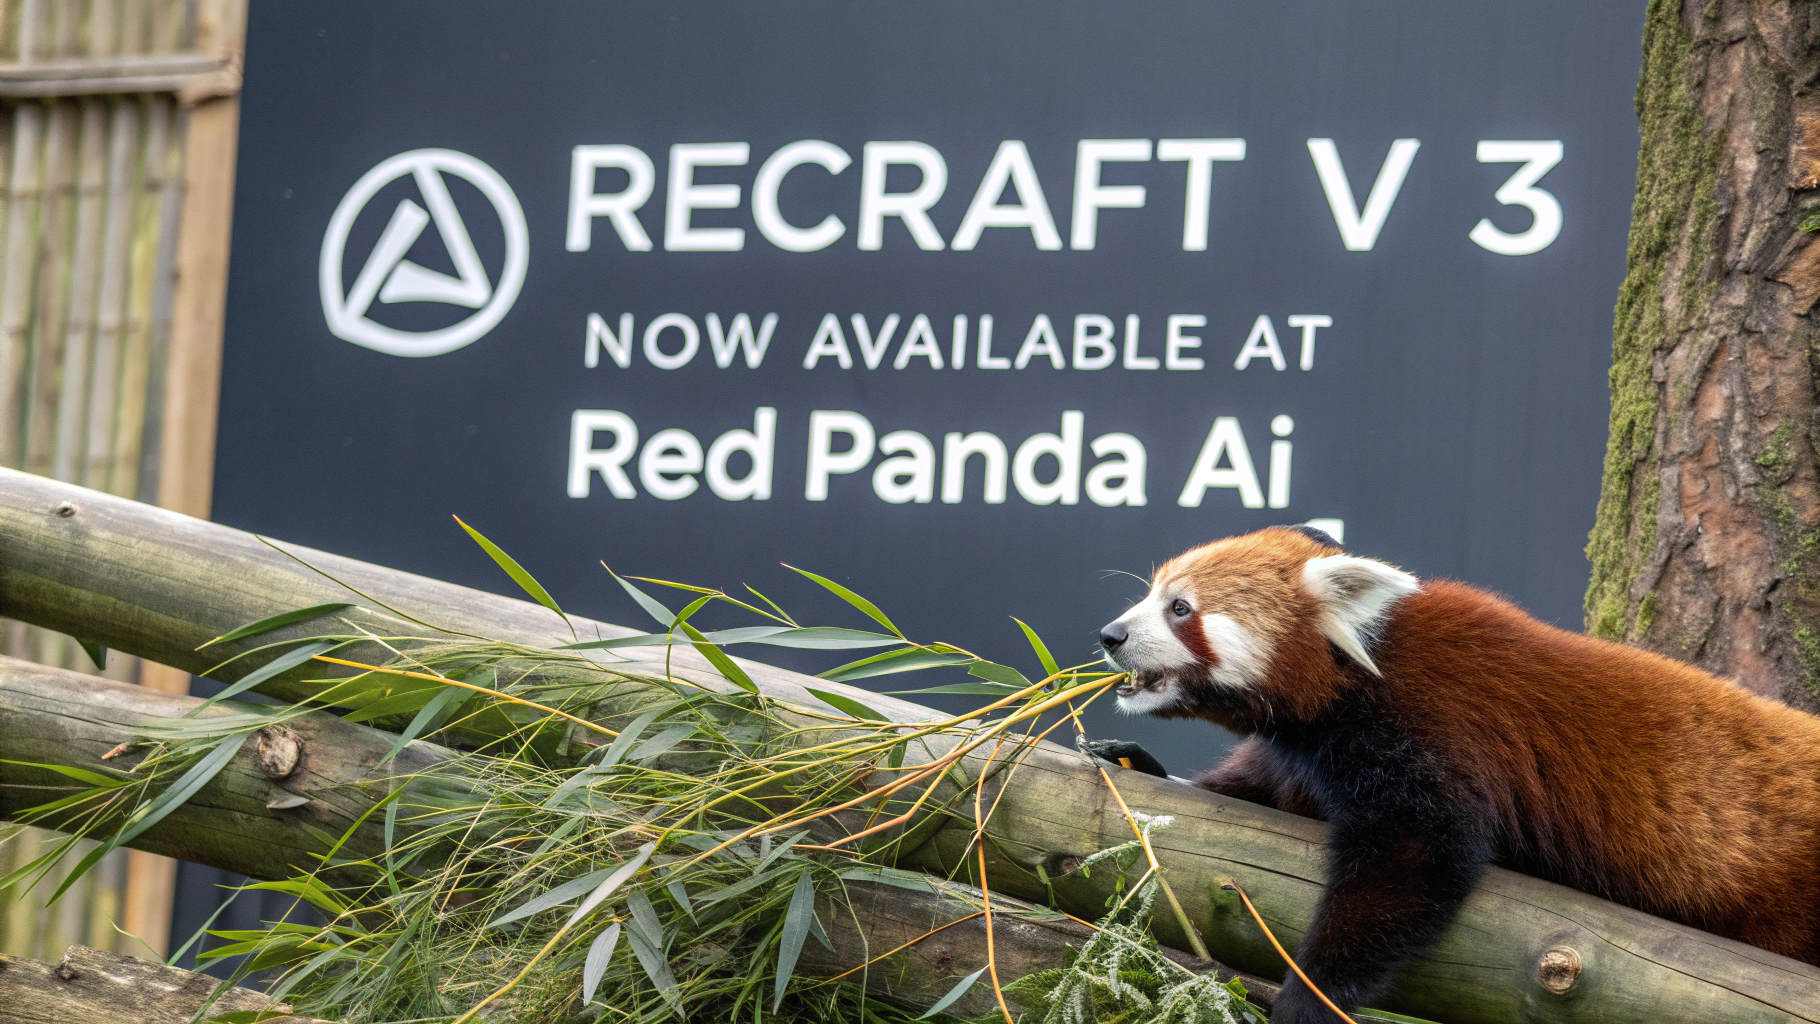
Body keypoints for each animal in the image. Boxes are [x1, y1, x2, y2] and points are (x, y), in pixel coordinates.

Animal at [1092, 525, 1820, 1023]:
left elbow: (1414, 858)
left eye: (1180, 609)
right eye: (1152, 595)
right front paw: (1133, 758)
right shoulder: (1306, 752)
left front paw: (1309, 995)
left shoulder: (1436, 730)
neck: (1358, 673)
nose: (1110, 635)